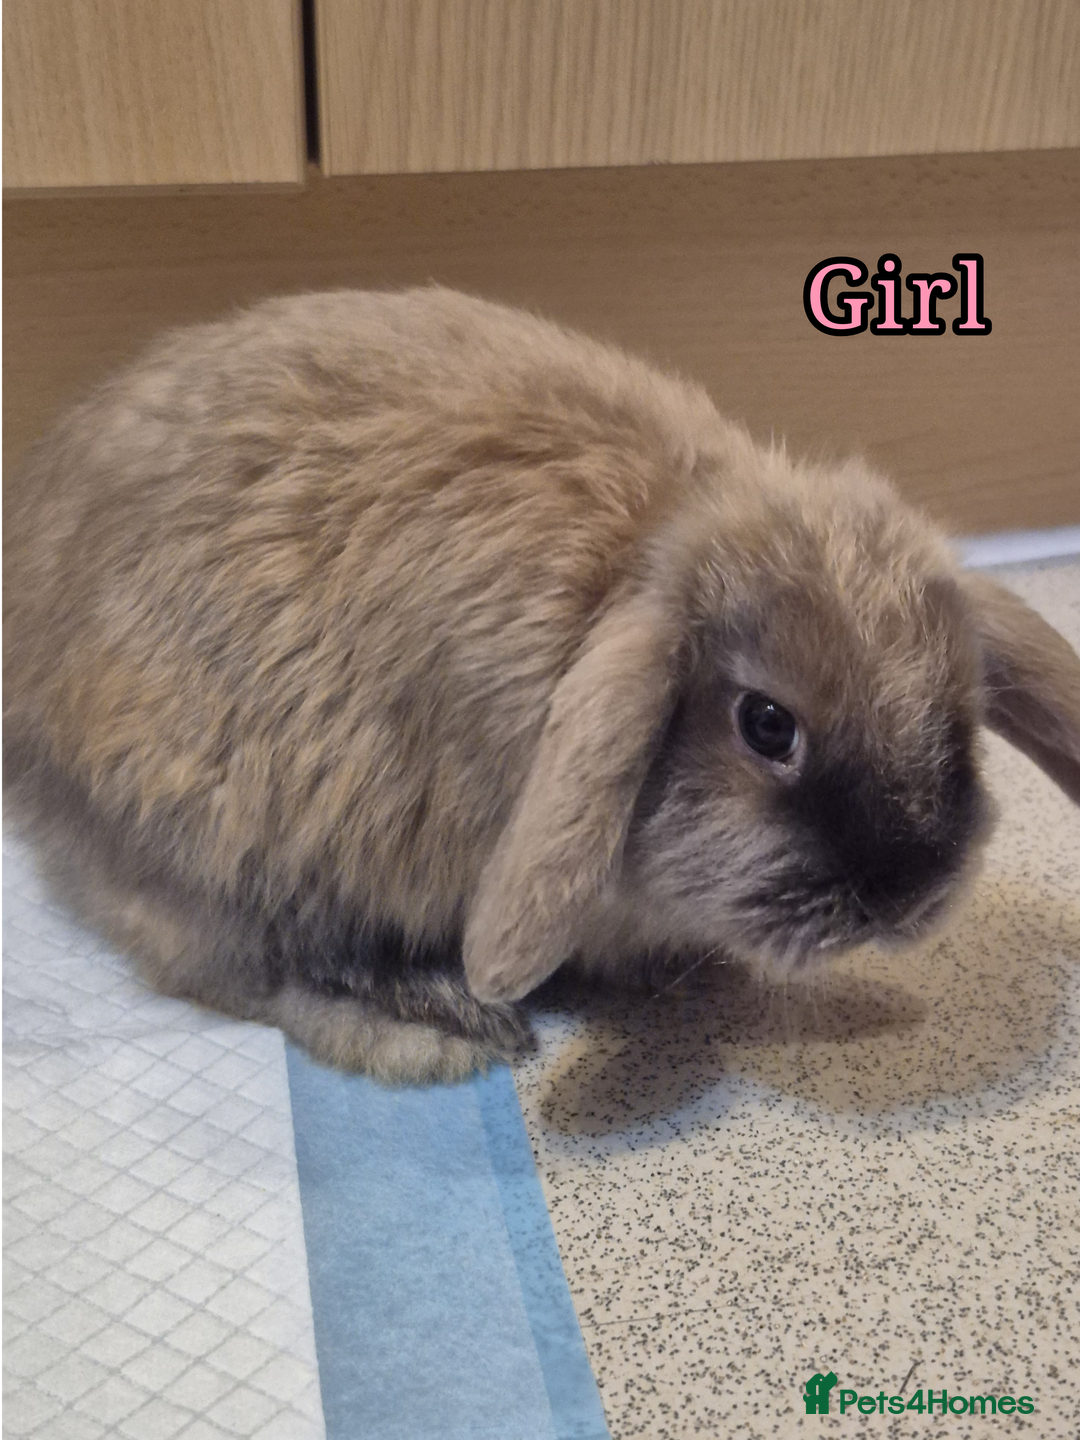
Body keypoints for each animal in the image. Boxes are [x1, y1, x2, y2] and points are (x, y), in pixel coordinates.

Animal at [6, 286, 1080, 1084]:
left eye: (960, 710)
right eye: (767, 724)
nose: (912, 890)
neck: (637, 558)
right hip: (224, 837)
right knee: (251, 969)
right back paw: (435, 1024)